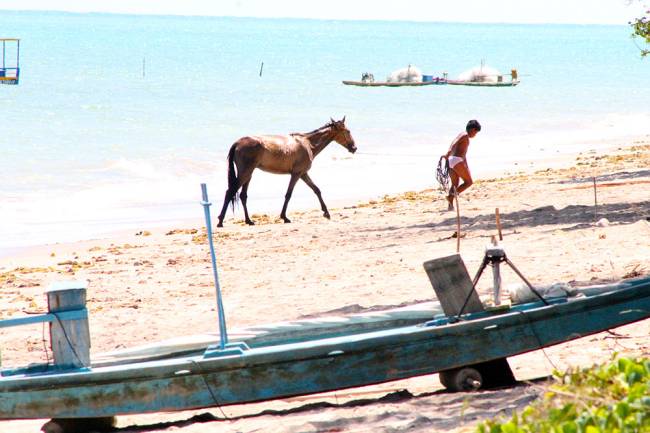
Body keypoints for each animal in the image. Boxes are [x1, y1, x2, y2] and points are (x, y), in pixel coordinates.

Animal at [216, 116, 354, 228]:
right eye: (348, 131)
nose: (354, 147)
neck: (308, 144)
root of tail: (237, 143)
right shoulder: (296, 174)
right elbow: (288, 194)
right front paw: (284, 217)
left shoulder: (303, 174)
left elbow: (316, 190)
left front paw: (326, 212)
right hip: (245, 173)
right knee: (230, 192)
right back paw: (220, 221)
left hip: (248, 174)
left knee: (243, 195)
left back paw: (249, 221)